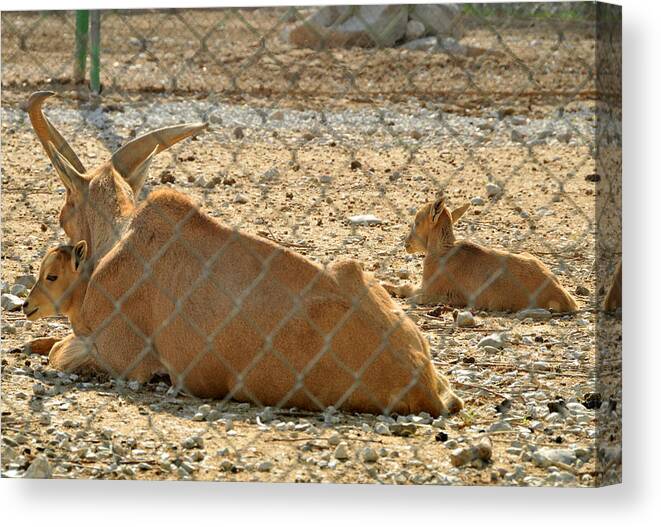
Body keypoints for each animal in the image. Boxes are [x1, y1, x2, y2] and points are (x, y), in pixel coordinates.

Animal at [382, 198, 576, 314]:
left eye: (417, 221)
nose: (406, 243)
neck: (444, 253)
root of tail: (563, 297)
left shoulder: (428, 291)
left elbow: (406, 288)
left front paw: (385, 285)